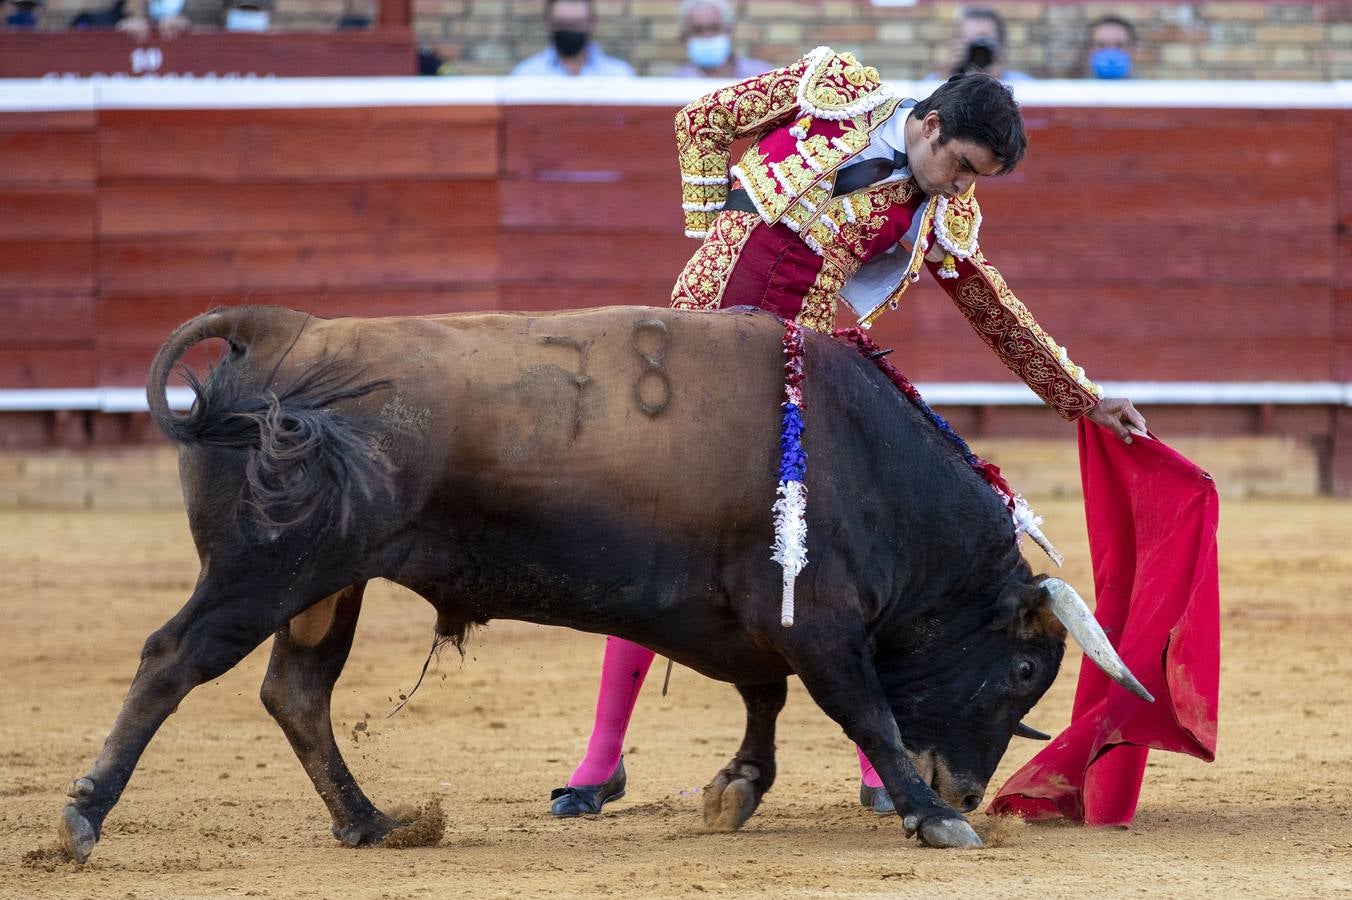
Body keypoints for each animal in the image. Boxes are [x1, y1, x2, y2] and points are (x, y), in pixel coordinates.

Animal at [58, 305, 1146, 859]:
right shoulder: (819, 621)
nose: (971, 787)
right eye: (1022, 674)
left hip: (328, 581)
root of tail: (276, 332)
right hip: (266, 568)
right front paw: (931, 816)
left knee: (295, 691)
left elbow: (765, 700)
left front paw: (737, 789)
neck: (864, 458)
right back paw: (82, 819)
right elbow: (861, 710)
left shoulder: (753, 619)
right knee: (172, 659)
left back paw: (370, 822)